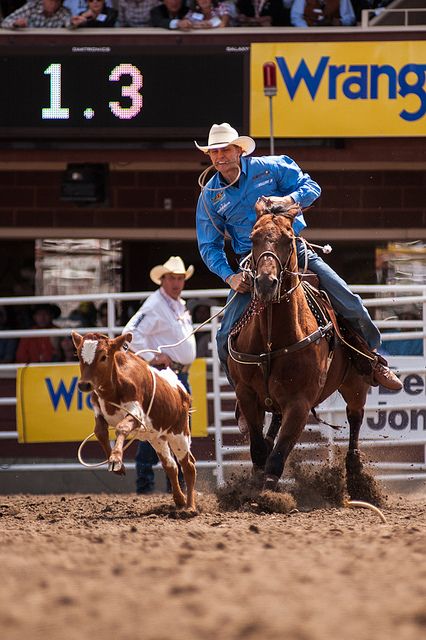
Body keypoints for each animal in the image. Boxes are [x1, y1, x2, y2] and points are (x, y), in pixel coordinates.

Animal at [71, 332, 196, 512]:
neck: (113, 389)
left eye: (103, 356)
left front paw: (116, 459)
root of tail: (180, 389)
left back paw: (190, 507)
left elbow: (122, 427)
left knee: (188, 466)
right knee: (171, 466)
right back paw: (180, 500)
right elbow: (100, 432)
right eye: (79, 355)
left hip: (179, 434)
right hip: (157, 438)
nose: (84, 385)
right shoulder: (98, 410)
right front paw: (117, 464)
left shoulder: (136, 414)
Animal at [228, 198, 372, 498]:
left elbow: (279, 454)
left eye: (287, 239)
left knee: (355, 418)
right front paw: (254, 485)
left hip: (355, 384)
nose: (265, 283)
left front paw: (269, 496)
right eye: (253, 238)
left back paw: (356, 476)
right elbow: (259, 448)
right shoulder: (246, 393)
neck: (272, 339)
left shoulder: (300, 402)